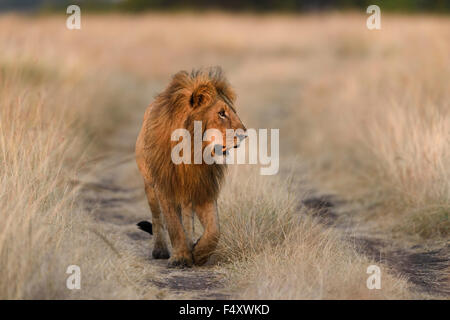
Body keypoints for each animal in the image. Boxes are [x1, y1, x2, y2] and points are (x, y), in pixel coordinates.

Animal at [135, 67, 248, 268]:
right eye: (221, 113)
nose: (244, 134)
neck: (192, 151)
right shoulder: (165, 186)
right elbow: (173, 225)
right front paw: (181, 257)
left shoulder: (203, 187)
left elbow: (214, 229)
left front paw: (199, 254)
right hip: (149, 184)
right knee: (157, 218)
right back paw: (160, 250)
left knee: (187, 219)